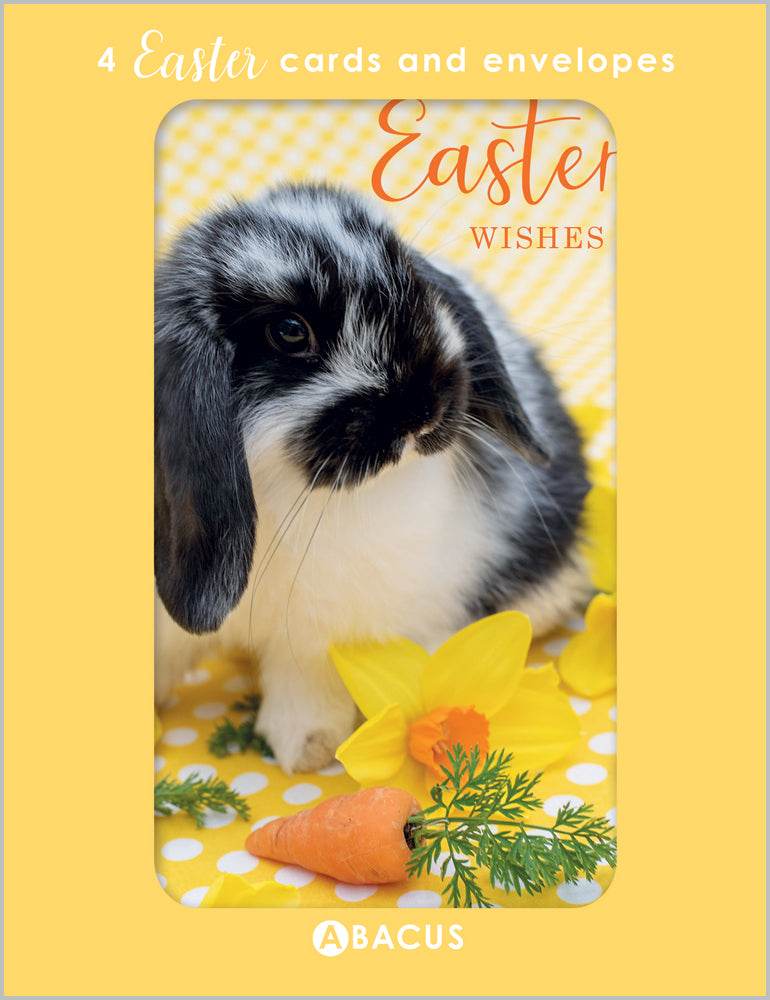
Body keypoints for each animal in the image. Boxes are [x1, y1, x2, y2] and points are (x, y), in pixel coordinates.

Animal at [155, 182, 592, 773]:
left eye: (415, 288)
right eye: (289, 332)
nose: (423, 409)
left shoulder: (323, 630)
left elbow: (306, 679)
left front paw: (305, 748)